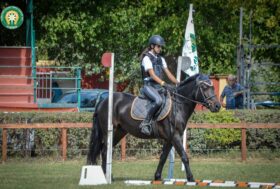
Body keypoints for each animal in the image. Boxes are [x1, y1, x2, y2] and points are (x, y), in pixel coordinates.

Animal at [87, 73, 221, 182]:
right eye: (204, 87)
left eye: (213, 87)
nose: (217, 106)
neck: (178, 105)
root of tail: (103, 101)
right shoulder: (175, 136)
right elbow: (184, 156)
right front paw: (191, 179)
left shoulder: (169, 139)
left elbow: (163, 157)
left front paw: (157, 177)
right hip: (109, 131)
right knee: (104, 151)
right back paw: (106, 177)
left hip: (119, 132)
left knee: (104, 151)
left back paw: (108, 176)